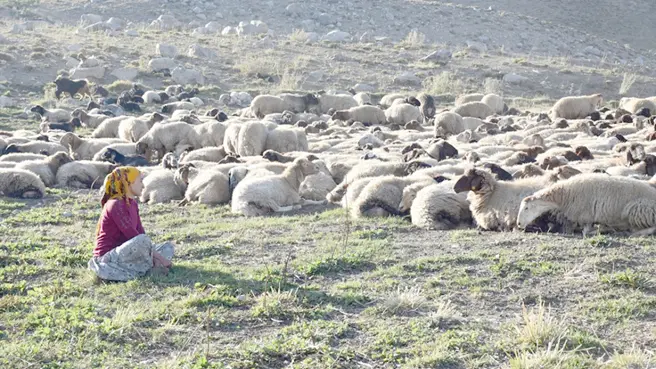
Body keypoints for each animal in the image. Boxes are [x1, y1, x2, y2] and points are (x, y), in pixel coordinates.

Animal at [516, 172, 656, 236]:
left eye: (526, 208)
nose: (518, 224)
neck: (563, 195)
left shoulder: (585, 216)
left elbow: (586, 231)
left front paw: (599, 230)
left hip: (638, 210)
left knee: (651, 227)